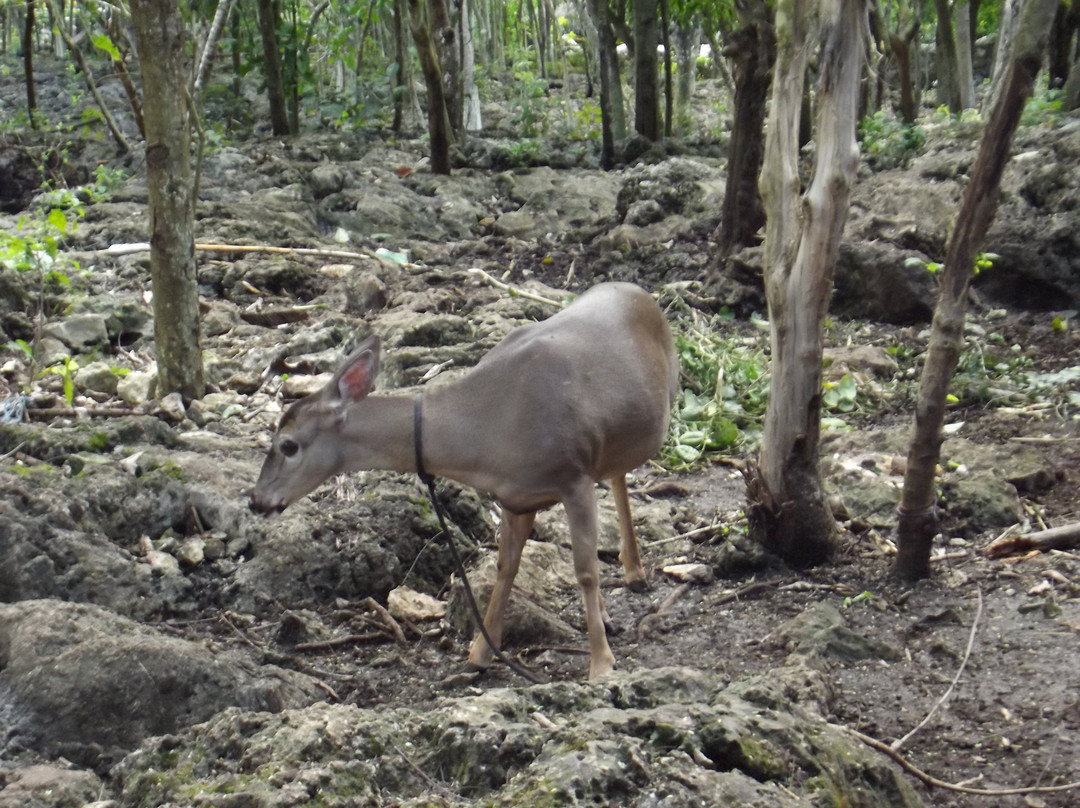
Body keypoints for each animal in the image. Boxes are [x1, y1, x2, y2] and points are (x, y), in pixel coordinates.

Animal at [248, 280, 678, 678]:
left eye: (288, 445)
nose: (256, 500)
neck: (487, 432)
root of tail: (638, 290)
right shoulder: (515, 496)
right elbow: (506, 566)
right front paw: (481, 653)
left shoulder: (573, 475)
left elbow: (585, 571)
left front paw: (601, 664)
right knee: (617, 471)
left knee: (621, 479)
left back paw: (634, 573)